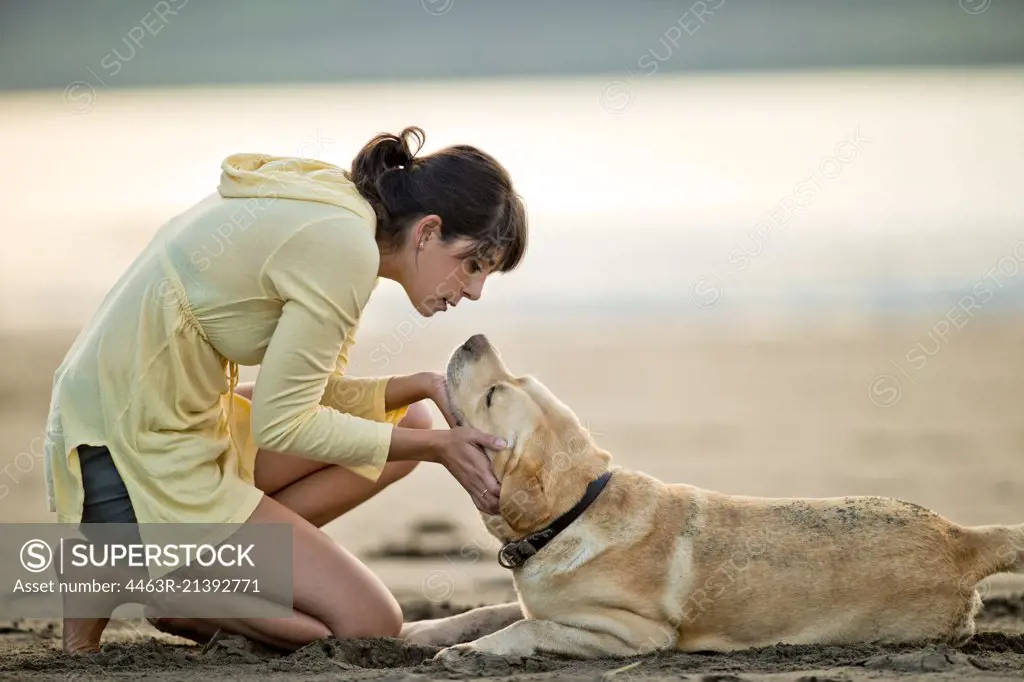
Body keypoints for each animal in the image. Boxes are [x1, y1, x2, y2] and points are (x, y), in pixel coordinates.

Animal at [399, 333, 1024, 659]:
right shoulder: (540, 602)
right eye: (511, 383)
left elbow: (531, 627)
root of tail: (962, 537)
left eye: (494, 395)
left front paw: (470, 652)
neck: (574, 512)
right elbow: (489, 610)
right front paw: (424, 632)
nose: (473, 337)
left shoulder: (636, 634)